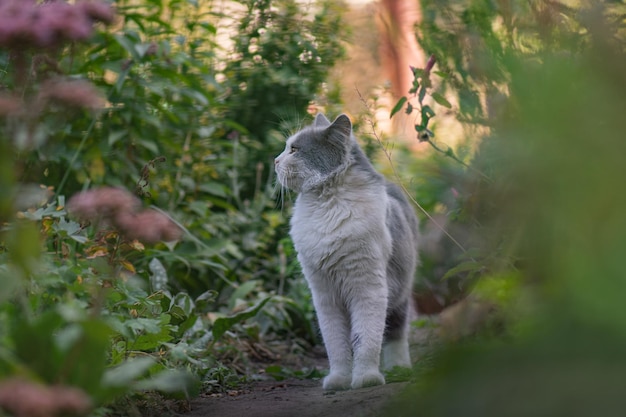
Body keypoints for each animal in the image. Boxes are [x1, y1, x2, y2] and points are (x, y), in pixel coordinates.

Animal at [274, 112, 416, 388]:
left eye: (294, 150)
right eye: (286, 148)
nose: (274, 161)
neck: (326, 203)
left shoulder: (368, 288)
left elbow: (366, 338)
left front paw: (366, 378)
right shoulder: (325, 294)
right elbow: (336, 344)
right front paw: (339, 380)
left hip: (400, 293)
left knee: (396, 331)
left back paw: (398, 369)